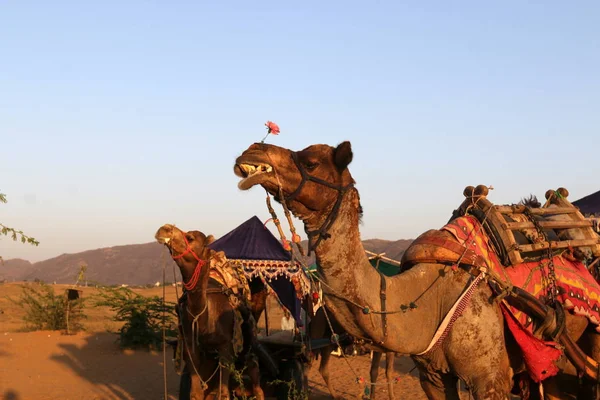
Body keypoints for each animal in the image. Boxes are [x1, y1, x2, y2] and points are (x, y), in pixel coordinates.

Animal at [156, 225, 264, 400]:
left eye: (190, 237)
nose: (164, 228)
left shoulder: (226, 348)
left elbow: (223, 393)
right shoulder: (191, 349)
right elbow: (196, 393)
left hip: (249, 342)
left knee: (255, 377)